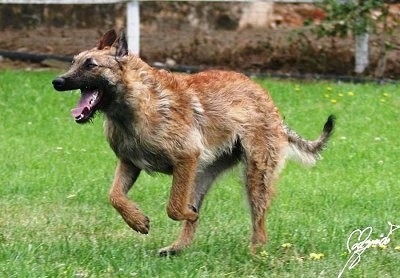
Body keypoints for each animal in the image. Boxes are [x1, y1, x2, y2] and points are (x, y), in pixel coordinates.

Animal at [52, 29, 334, 255]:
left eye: (90, 65)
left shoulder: (185, 157)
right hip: (201, 175)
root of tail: (269, 103)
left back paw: (255, 252)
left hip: (254, 176)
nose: (57, 81)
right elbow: (115, 196)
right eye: (74, 62)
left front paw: (174, 215)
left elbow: (174, 207)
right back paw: (178, 248)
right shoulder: (129, 163)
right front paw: (137, 221)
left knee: (258, 221)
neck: (135, 104)